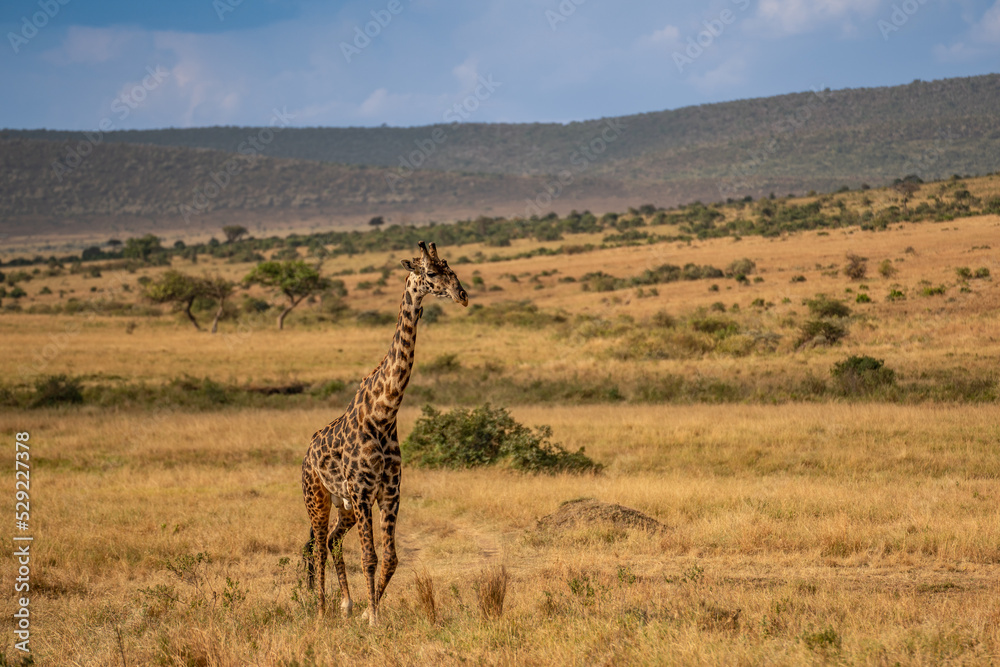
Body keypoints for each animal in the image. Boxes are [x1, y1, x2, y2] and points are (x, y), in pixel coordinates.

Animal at [300, 241, 468, 625]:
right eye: (431, 272)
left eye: (452, 270)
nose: (463, 296)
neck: (385, 412)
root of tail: (307, 452)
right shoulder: (364, 492)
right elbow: (370, 557)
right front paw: (374, 617)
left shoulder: (390, 492)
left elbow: (390, 557)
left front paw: (367, 610)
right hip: (317, 496)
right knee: (317, 546)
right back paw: (320, 610)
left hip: (344, 505)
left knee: (332, 540)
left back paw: (346, 604)